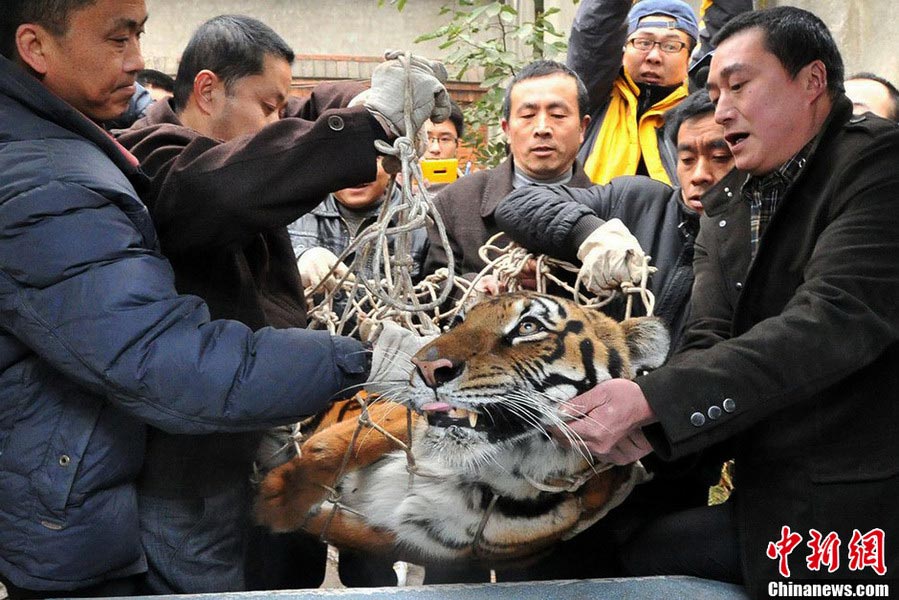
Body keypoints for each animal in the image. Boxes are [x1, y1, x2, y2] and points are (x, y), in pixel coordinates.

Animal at [253, 290, 668, 568]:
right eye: (458, 322)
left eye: (528, 326)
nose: (424, 367)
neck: (487, 469)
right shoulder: (399, 420)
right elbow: (334, 446)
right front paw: (279, 495)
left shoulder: (417, 541)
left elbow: (340, 527)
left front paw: (279, 507)